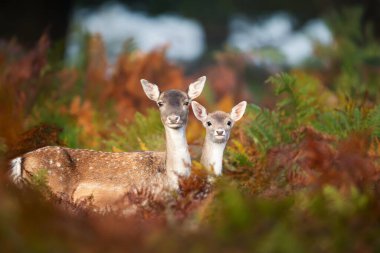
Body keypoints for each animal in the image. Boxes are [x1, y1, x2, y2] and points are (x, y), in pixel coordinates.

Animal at [8, 76, 205, 209]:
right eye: (160, 103)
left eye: (186, 102)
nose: (173, 118)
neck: (171, 176)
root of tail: (21, 159)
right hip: (54, 188)